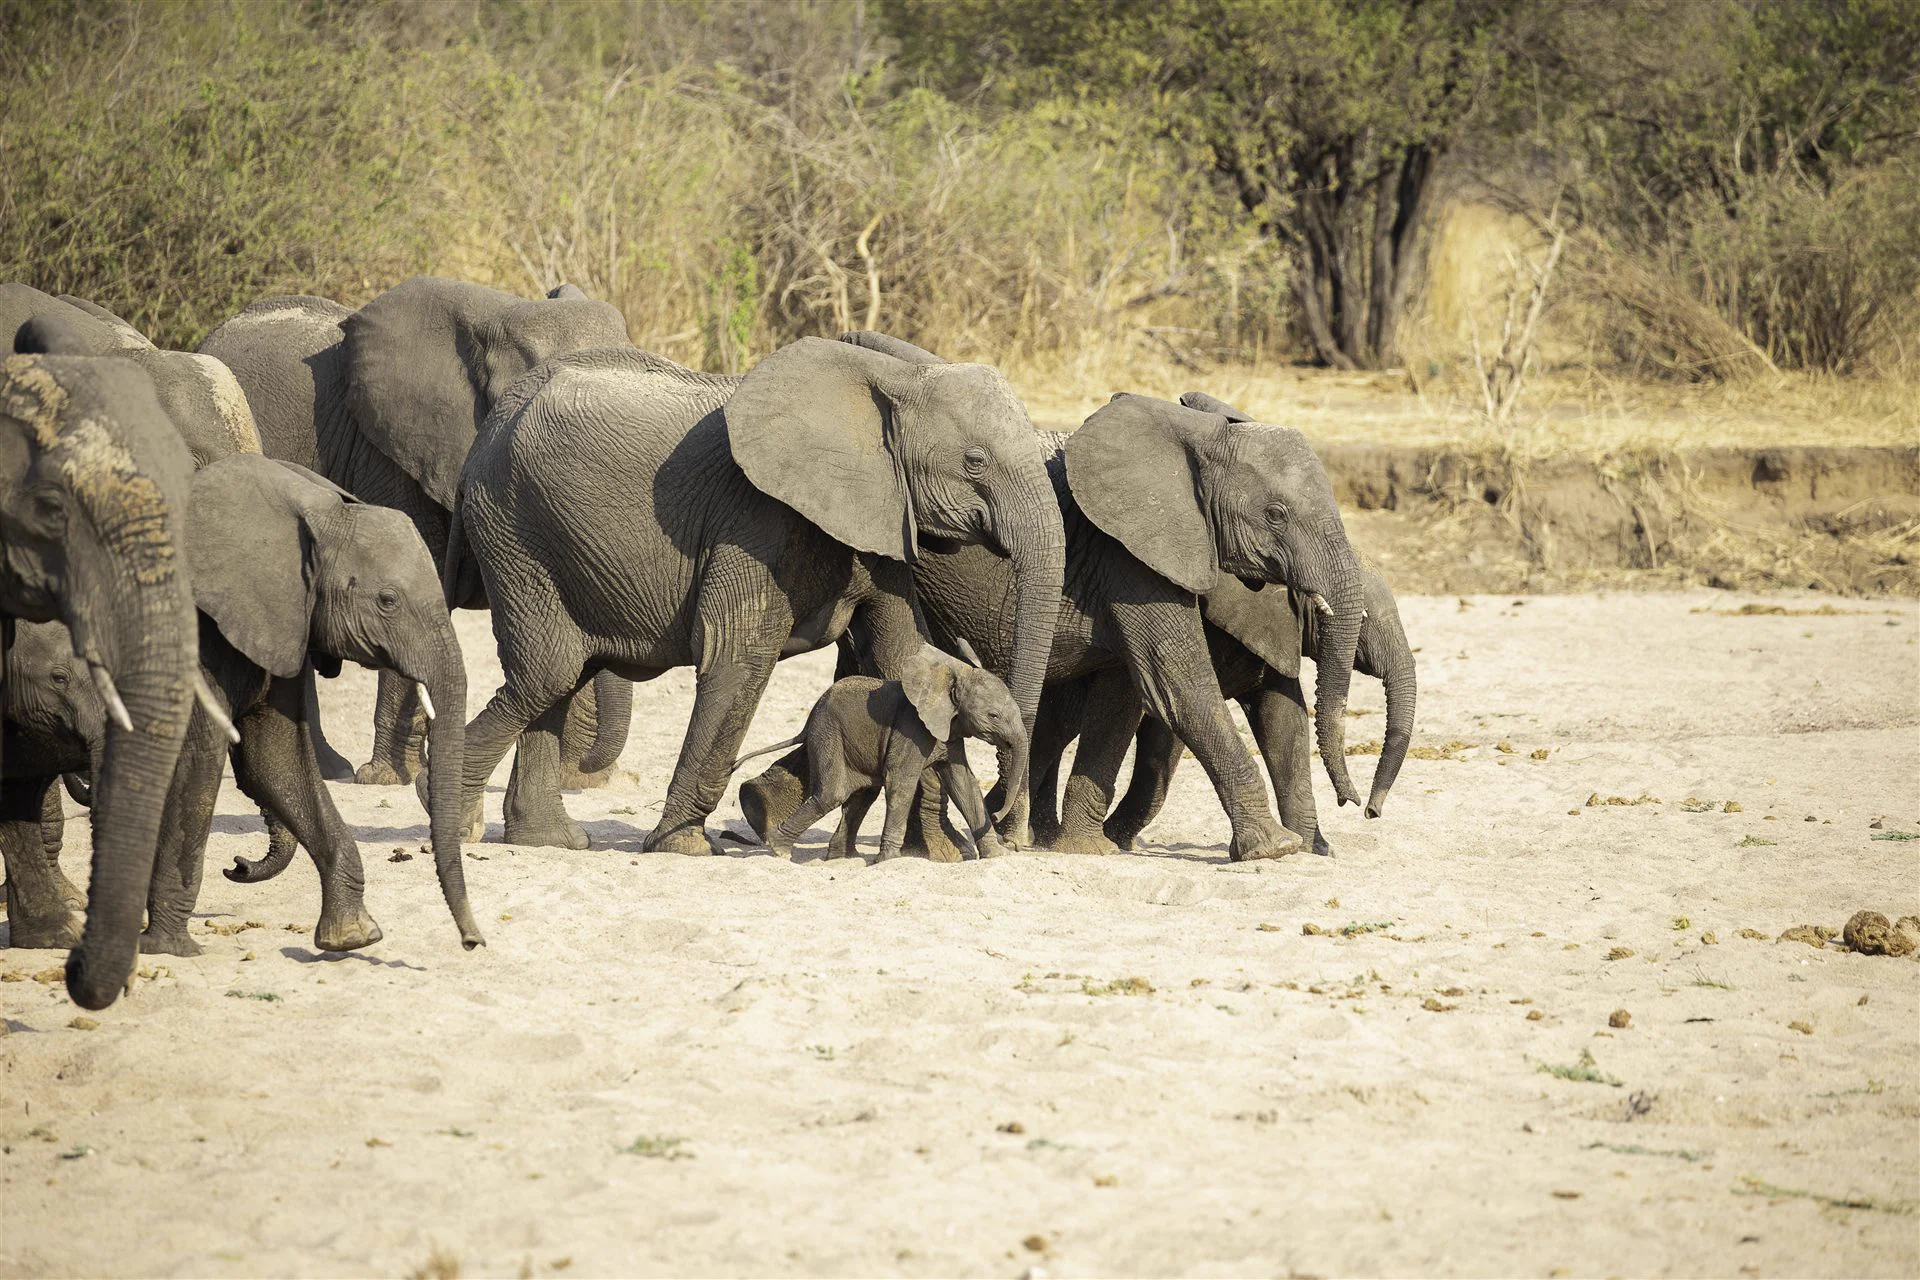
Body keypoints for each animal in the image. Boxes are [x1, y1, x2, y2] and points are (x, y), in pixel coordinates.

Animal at [196, 277, 633, 787]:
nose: (588, 768)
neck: (501, 316)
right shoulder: (390, 457)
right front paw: (387, 777)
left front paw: (577, 781)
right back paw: (332, 770)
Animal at [733, 642, 1024, 861]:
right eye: (993, 715)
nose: (996, 815)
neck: (951, 675)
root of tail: (809, 720)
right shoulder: (911, 728)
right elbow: (901, 781)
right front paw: (888, 861)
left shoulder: (948, 733)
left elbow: (964, 785)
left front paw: (996, 858)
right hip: (828, 733)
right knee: (832, 794)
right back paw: (779, 849)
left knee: (861, 796)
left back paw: (841, 860)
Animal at [1024, 566, 1416, 858]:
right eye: (1363, 618)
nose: (1365, 808)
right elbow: (1167, 729)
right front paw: (1116, 838)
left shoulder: (1271, 631)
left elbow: (1284, 721)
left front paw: (1313, 851)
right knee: (1058, 724)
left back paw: (1042, 835)